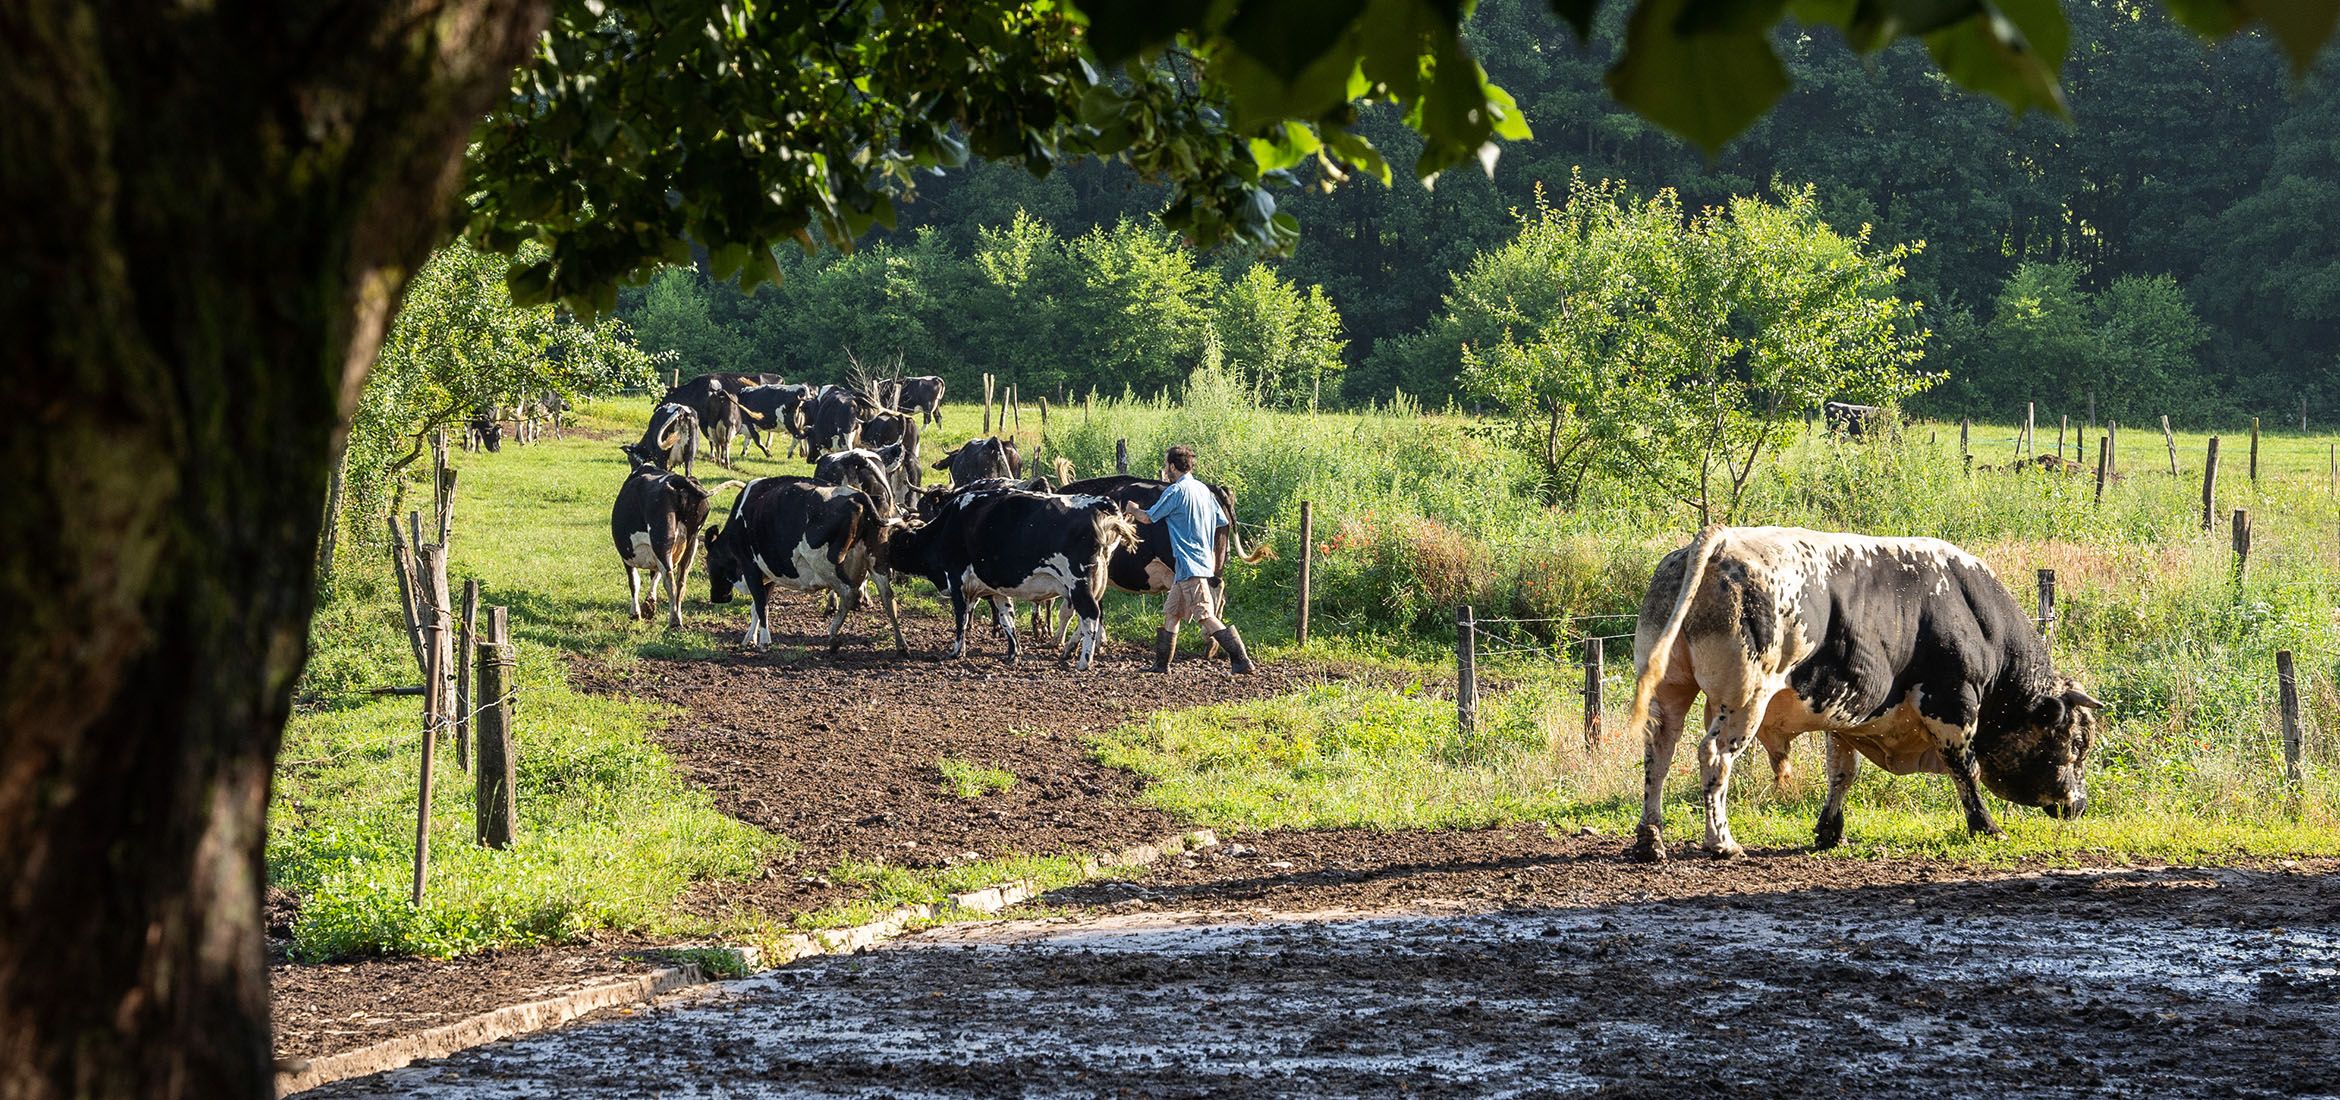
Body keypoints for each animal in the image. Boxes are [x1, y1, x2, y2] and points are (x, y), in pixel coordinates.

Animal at [608, 458, 734, 627]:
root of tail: (679, 480)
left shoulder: (628, 555)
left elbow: (634, 581)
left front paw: (635, 613)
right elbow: (654, 575)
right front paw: (649, 605)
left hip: (661, 541)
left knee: (670, 580)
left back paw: (674, 620)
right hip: (691, 542)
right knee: (681, 581)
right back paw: (677, 616)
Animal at [692, 475, 903, 655]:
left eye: (710, 562)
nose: (717, 597)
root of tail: (857, 495)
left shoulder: (750, 567)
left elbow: (760, 605)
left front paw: (764, 642)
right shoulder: (769, 573)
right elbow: (757, 608)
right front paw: (749, 639)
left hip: (826, 562)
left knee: (849, 593)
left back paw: (833, 635)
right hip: (878, 562)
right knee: (888, 598)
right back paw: (901, 644)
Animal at [884, 484, 1132, 669]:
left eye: (895, 542)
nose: (884, 559)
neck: (947, 526)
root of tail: (1102, 504)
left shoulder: (957, 580)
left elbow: (961, 618)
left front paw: (956, 651)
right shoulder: (996, 589)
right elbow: (1006, 619)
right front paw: (1014, 653)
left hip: (1079, 583)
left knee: (1090, 615)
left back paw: (1084, 661)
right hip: (1094, 584)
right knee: (1092, 615)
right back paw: (1069, 650)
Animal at [1628, 528, 2106, 865]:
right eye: (2076, 745)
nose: (2079, 805)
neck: (1974, 616)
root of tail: (1722, 541)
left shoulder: (1844, 710)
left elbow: (1842, 773)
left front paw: (1829, 832)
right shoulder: (1951, 703)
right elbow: (1965, 770)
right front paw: (1986, 827)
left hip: (1671, 691)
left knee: (1659, 753)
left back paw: (1651, 840)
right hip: (1745, 698)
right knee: (1714, 757)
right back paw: (1722, 842)